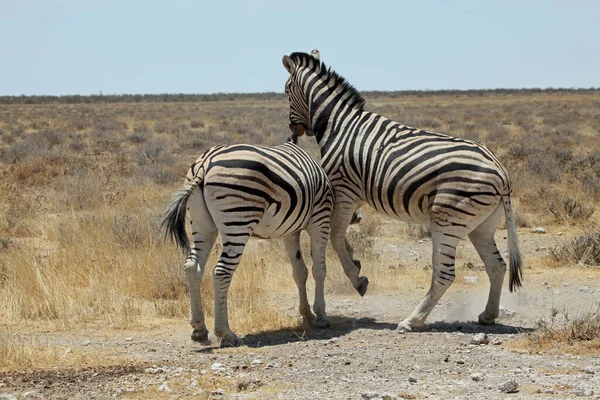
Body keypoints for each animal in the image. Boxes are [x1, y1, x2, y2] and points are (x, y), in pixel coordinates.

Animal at [162, 142, 336, 346]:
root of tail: (206, 162)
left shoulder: (291, 231)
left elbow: (300, 271)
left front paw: (307, 314)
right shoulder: (320, 219)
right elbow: (319, 269)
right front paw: (321, 315)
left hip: (202, 224)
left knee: (192, 267)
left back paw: (199, 329)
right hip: (238, 219)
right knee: (221, 272)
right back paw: (225, 333)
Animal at [280, 50, 520, 332]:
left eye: (286, 90)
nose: (293, 131)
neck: (337, 125)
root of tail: (501, 172)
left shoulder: (344, 188)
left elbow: (336, 236)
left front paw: (357, 278)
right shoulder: (358, 193)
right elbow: (344, 232)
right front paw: (356, 260)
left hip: (448, 218)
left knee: (445, 274)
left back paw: (412, 320)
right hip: (482, 226)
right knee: (497, 266)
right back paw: (488, 315)